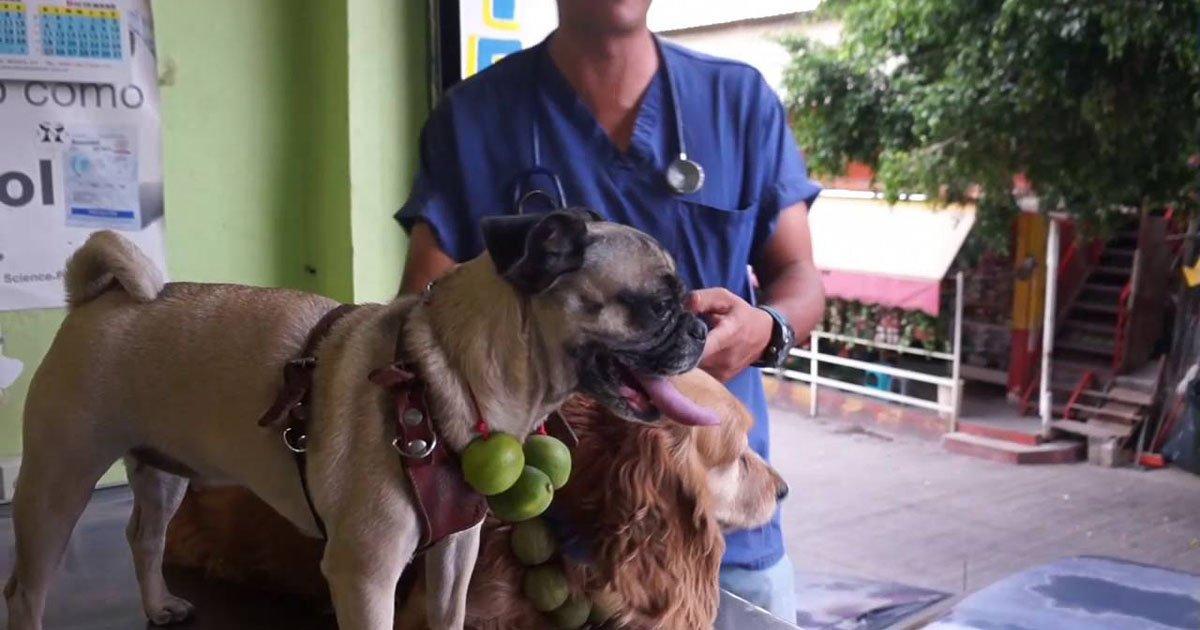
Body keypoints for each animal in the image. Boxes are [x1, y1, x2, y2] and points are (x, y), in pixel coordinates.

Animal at [2, 210, 710, 628]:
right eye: (656, 305)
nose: (701, 327)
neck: (444, 373)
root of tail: (98, 299)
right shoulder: (364, 573)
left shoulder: (455, 551)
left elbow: (449, 616)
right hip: (58, 483)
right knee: (25, 590)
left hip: (162, 473)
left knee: (143, 539)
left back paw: (157, 605)